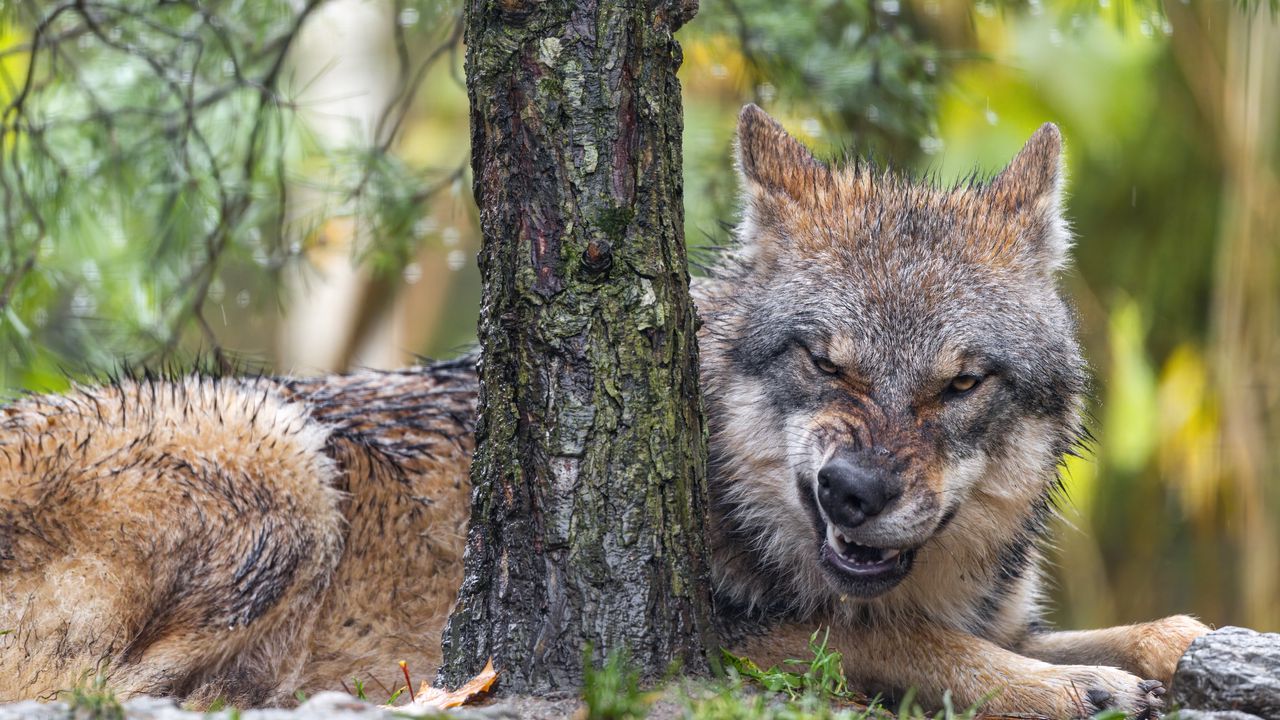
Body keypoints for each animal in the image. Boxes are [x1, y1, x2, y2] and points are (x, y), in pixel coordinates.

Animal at [0, 105, 1208, 712]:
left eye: (960, 384)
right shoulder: (731, 641)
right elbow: (911, 643)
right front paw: (1075, 690)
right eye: (826, 366)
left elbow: (1151, 630)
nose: (852, 491)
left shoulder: (1002, 613)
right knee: (106, 691)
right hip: (280, 455)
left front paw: (1166, 650)